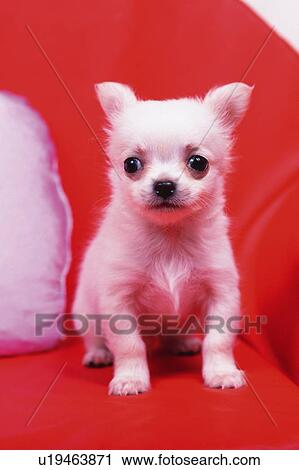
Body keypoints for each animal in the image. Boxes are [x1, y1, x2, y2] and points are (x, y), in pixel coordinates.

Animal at [73, 82, 253, 394]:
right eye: (131, 164)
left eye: (198, 162)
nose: (165, 185)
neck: (170, 237)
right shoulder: (118, 300)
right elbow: (129, 344)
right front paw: (130, 379)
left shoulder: (222, 292)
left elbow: (218, 341)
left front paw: (221, 373)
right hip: (84, 311)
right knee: (95, 338)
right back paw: (98, 354)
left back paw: (182, 343)